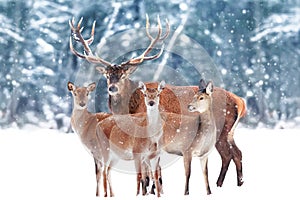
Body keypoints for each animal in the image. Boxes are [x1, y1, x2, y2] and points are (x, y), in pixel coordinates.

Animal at [69, 15, 246, 188]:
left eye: (123, 75)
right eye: (107, 75)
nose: (112, 87)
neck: (128, 108)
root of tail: (240, 102)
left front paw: (152, 187)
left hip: (221, 129)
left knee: (229, 154)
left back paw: (221, 185)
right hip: (229, 131)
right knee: (236, 153)